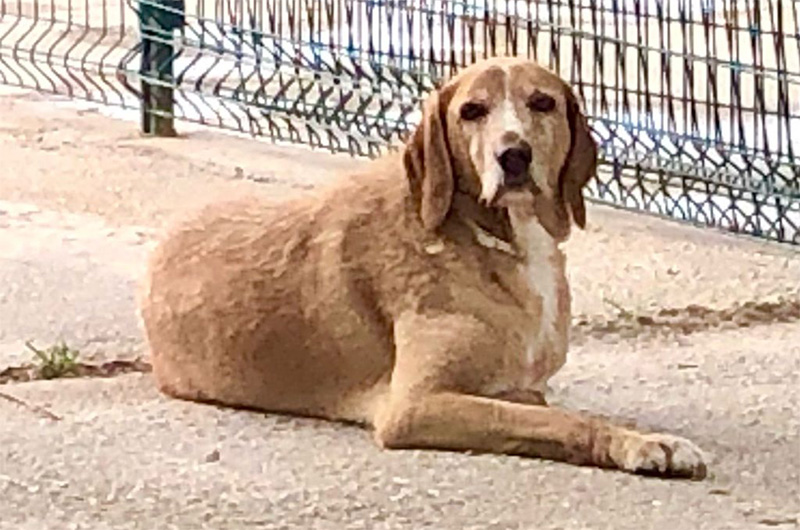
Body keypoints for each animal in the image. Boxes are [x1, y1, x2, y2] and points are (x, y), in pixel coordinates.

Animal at [139, 56, 707, 479]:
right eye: (472, 110)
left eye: (541, 102)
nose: (513, 155)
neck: (492, 238)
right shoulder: (414, 405)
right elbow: (564, 421)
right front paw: (634, 444)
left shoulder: (520, 388)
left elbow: (545, 408)